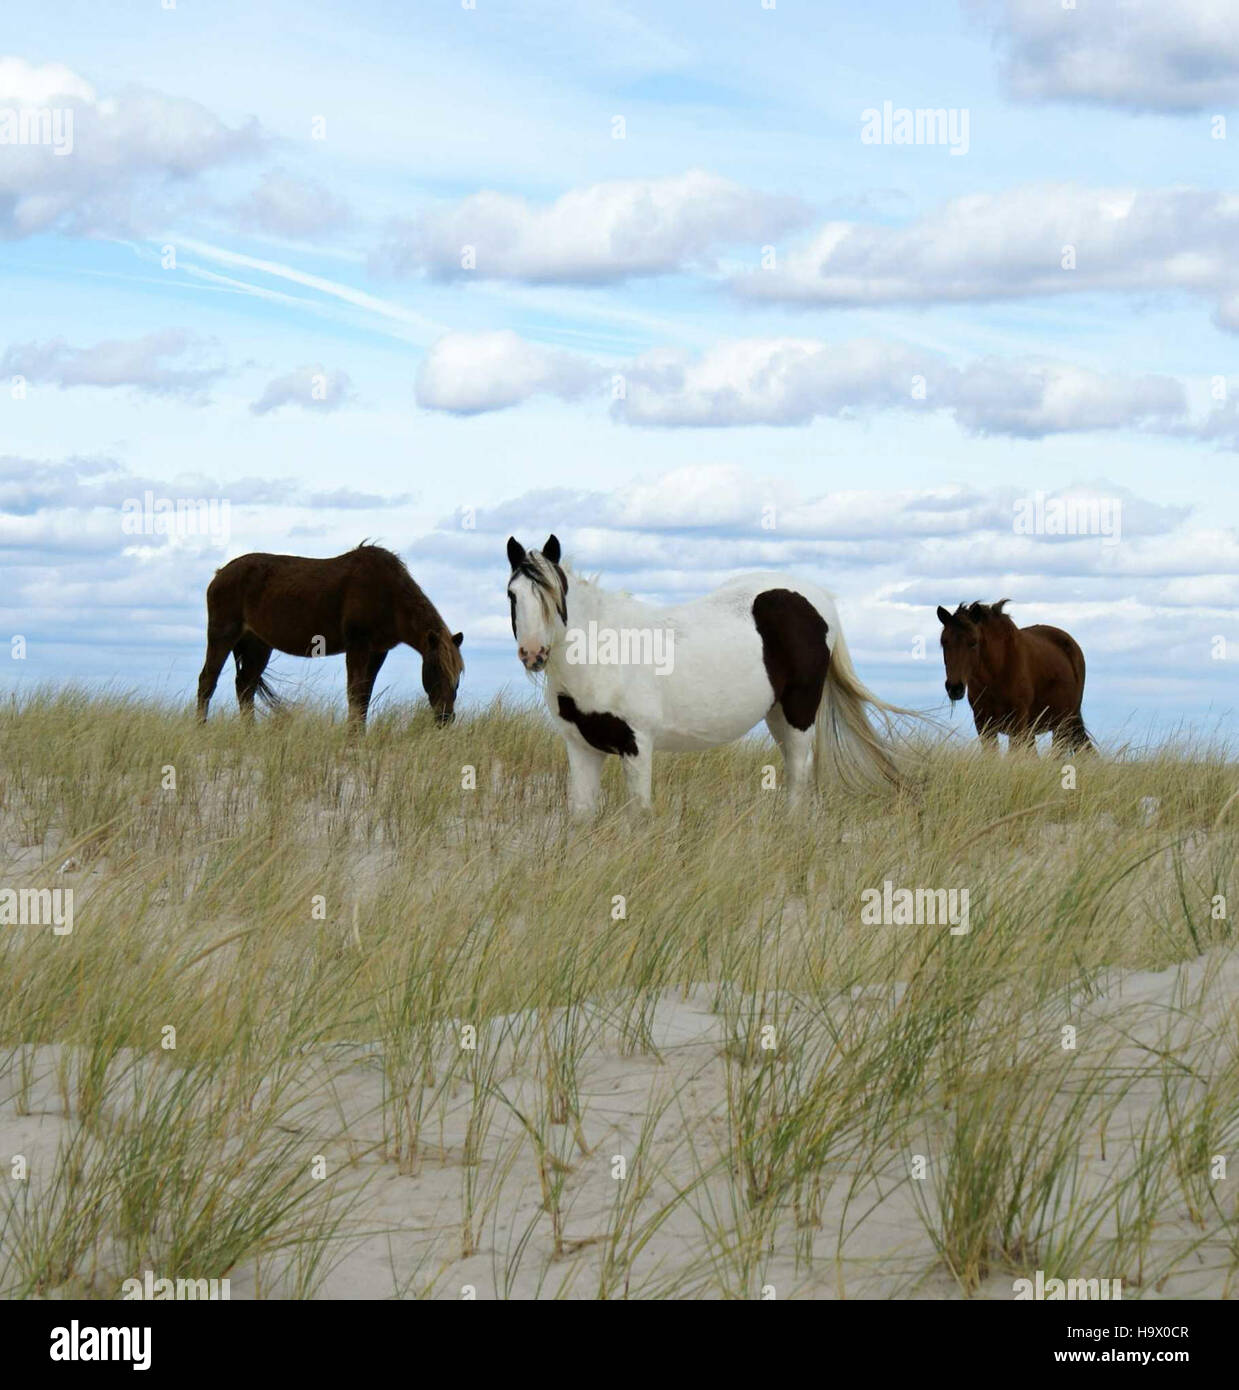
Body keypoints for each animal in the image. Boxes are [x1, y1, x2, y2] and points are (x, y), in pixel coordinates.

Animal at [197, 543, 463, 727]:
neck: (389, 595)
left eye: (458, 675)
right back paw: (201, 729)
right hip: (223, 635)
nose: (446, 718)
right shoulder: (358, 645)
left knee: (245, 686)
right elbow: (355, 694)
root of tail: (220, 574)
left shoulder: (378, 651)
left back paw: (250, 732)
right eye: (436, 669)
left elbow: (365, 696)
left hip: (258, 645)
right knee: (208, 680)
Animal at [505, 534, 912, 816]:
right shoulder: (581, 746)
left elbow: (639, 813)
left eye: (553, 597)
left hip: (799, 712)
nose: (533, 654)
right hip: (776, 714)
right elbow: (582, 814)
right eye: (512, 594)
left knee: (799, 774)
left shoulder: (636, 744)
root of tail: (818, 597)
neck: (602, 653)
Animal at [936, 600, 1091, 752]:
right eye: (944, 642)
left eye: (973, 642)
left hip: (1063, 724)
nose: (955, 688)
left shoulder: (1018, 723)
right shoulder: (983, 723)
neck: (998, 672)